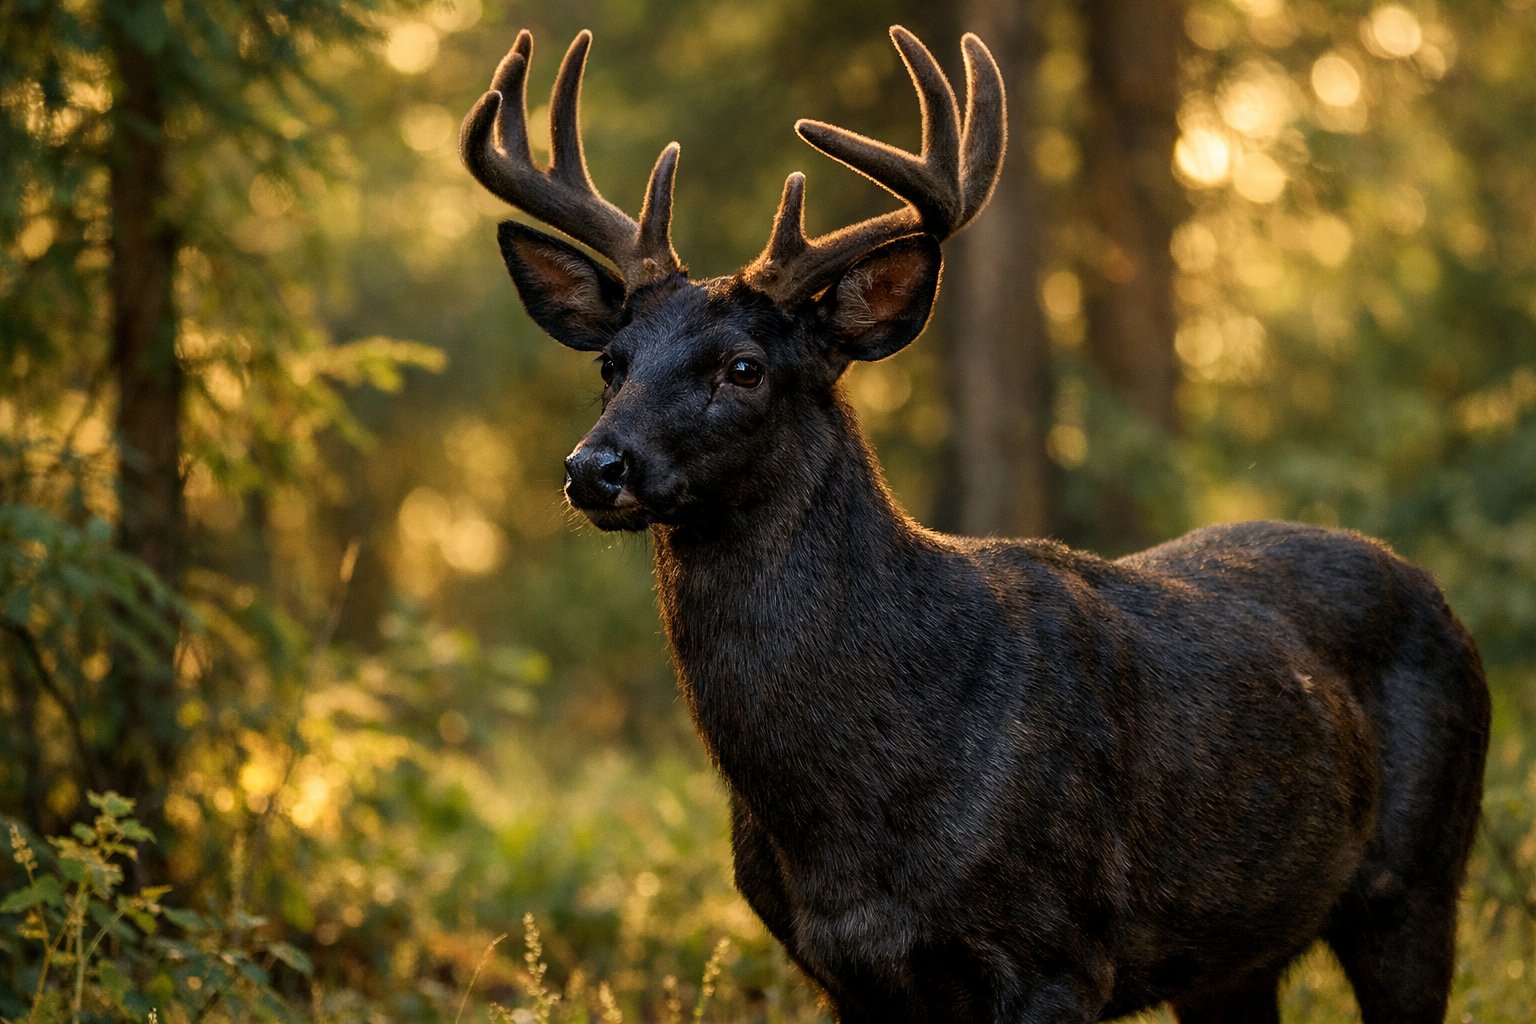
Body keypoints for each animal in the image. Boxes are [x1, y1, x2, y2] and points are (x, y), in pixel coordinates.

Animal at [458, 25, 1490, 1024]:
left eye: (744, 367)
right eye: (611, 363)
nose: (594, 468)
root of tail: (1437, 595)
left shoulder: (1057, 950)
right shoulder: (841, 971)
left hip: (1421, 882)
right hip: (1230, 955)